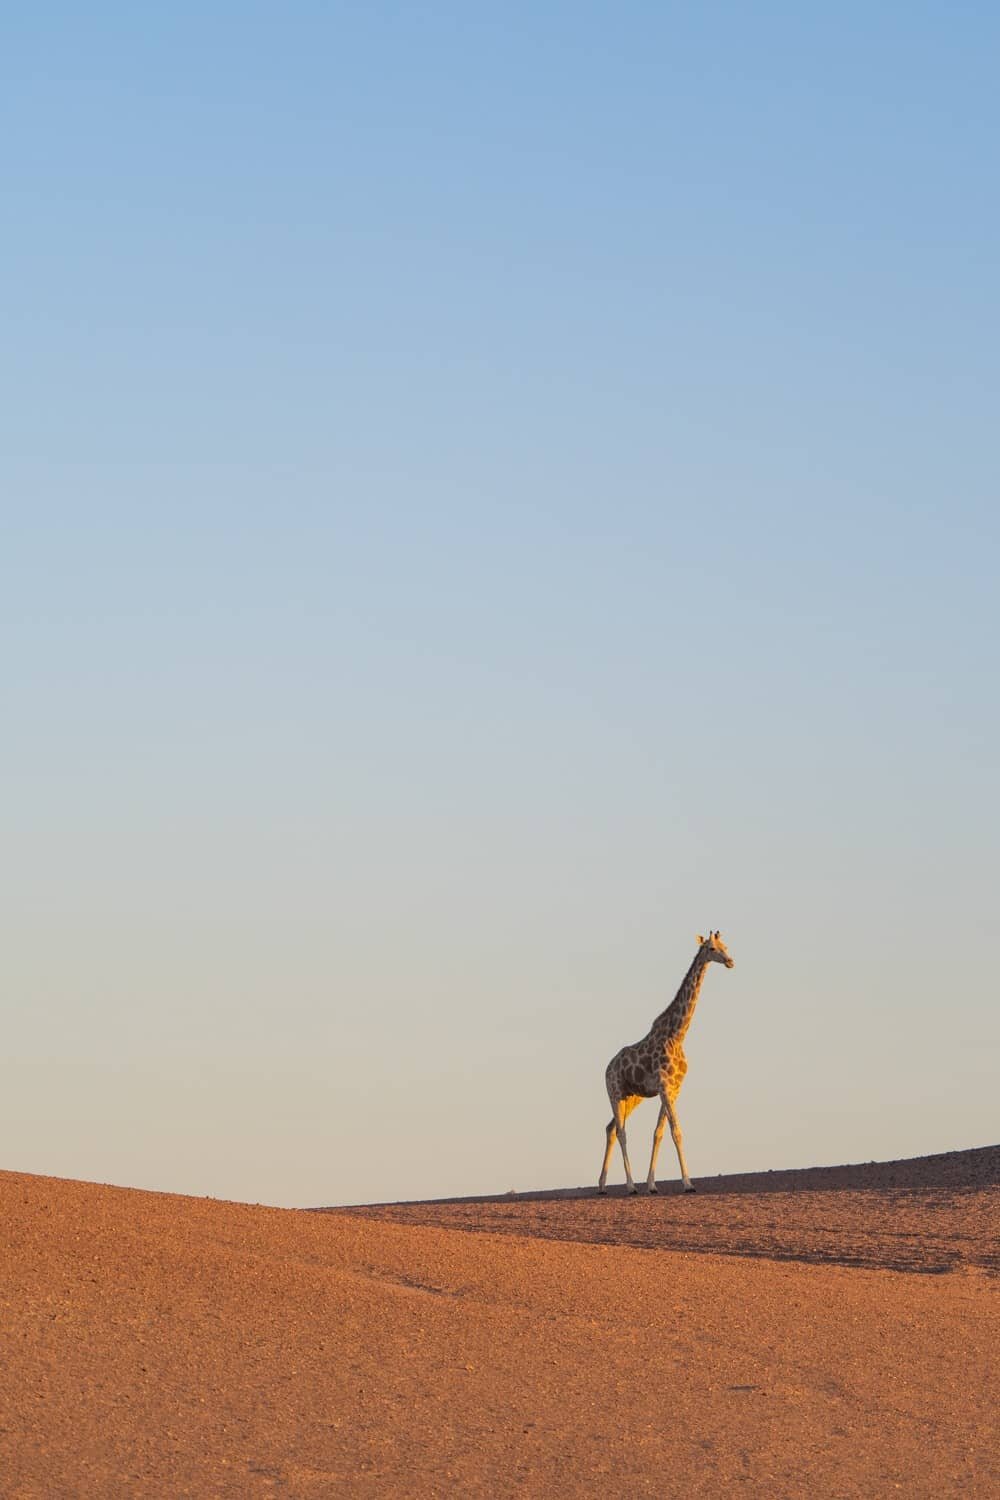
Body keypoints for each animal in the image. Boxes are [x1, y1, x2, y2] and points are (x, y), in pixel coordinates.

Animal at [593, 936, 734, 1194]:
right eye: (712, 948)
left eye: (726, 946)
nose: (730, 961)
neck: (678, 1035)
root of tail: (608, 1067)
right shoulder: (665, 1087)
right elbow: (676, 1131)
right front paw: (688, 1183)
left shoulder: (673, 1089)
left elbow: (658, 1133)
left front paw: (652, 1184)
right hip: (614, 1092)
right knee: (621, 1131)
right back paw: (630, 1186)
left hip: (631, 1097)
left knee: (610, 1128)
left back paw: (602, 1185)